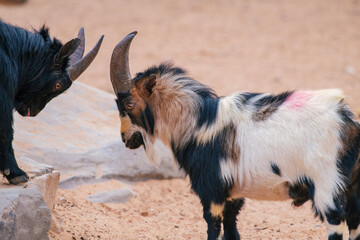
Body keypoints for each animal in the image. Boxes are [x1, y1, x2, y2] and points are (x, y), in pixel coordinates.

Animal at [109, 31, 360, 240]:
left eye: (129, 104)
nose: (125, 138)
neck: (199, 122)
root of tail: (348, 122)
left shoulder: (211, 190)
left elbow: (213, 227)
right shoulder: (233, 194)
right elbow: (231, 230)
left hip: (327, 185)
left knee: (335, 223)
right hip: (353, 186)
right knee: (355, 223)